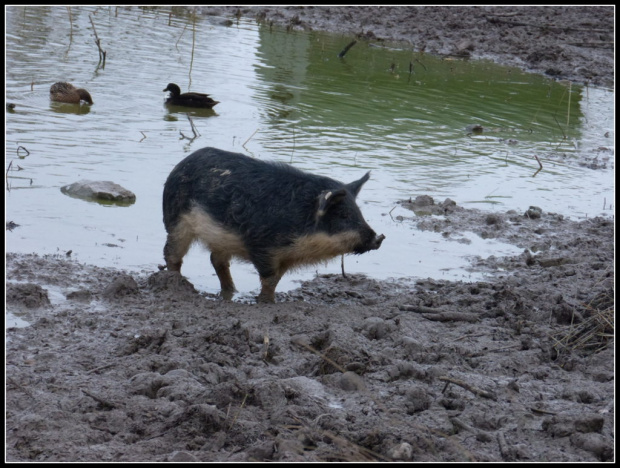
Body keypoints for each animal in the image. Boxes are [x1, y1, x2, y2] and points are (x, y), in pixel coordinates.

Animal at [163, 146, 388, 304]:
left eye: (360, 212)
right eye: (343, 215)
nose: (379, 237)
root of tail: (183, 162)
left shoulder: (286, 256)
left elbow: (277, 279)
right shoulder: (262, 246)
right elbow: (269, 278)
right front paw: (268, 302)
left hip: (219, 237)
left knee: (217, 260)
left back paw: (232, 291)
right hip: (176, 222)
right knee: (172, 254)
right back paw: (175, 282)